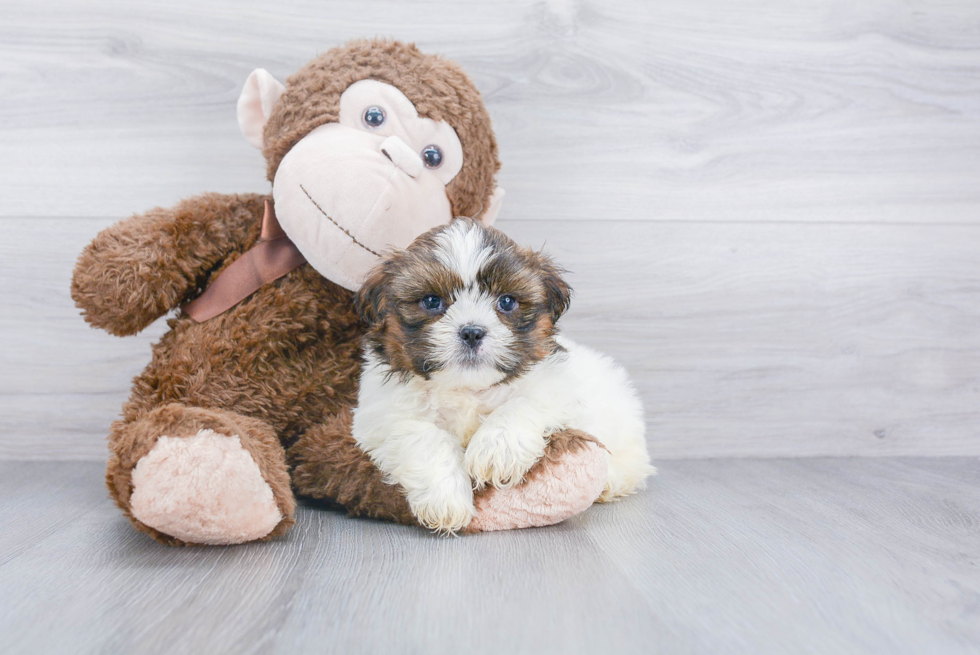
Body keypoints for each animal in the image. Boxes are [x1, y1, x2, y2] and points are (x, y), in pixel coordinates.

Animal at [350, 218, 652, 536]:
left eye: (506, 302)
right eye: (432, 301)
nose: (472, 331)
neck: (467, 389)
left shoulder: (558, 385)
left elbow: (523, 403)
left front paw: (495, 450)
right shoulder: (381, 414)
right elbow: (423, 436)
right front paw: (446, 498)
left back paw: (611, 482)